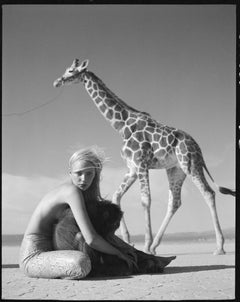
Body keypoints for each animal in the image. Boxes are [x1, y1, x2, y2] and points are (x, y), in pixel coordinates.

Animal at [53, 58, 235, 255]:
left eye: (71, 71)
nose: (57, 81)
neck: (121, 126)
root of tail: (198, 147)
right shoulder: (132, 168)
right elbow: (116, 196)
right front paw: (128, 239)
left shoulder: (141, 163)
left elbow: (145, 201)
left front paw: (145, 244)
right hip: (176, 170)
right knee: (175, 202)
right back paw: (156, 245)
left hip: (190, 163)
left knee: (208, 193)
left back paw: (219, 247)